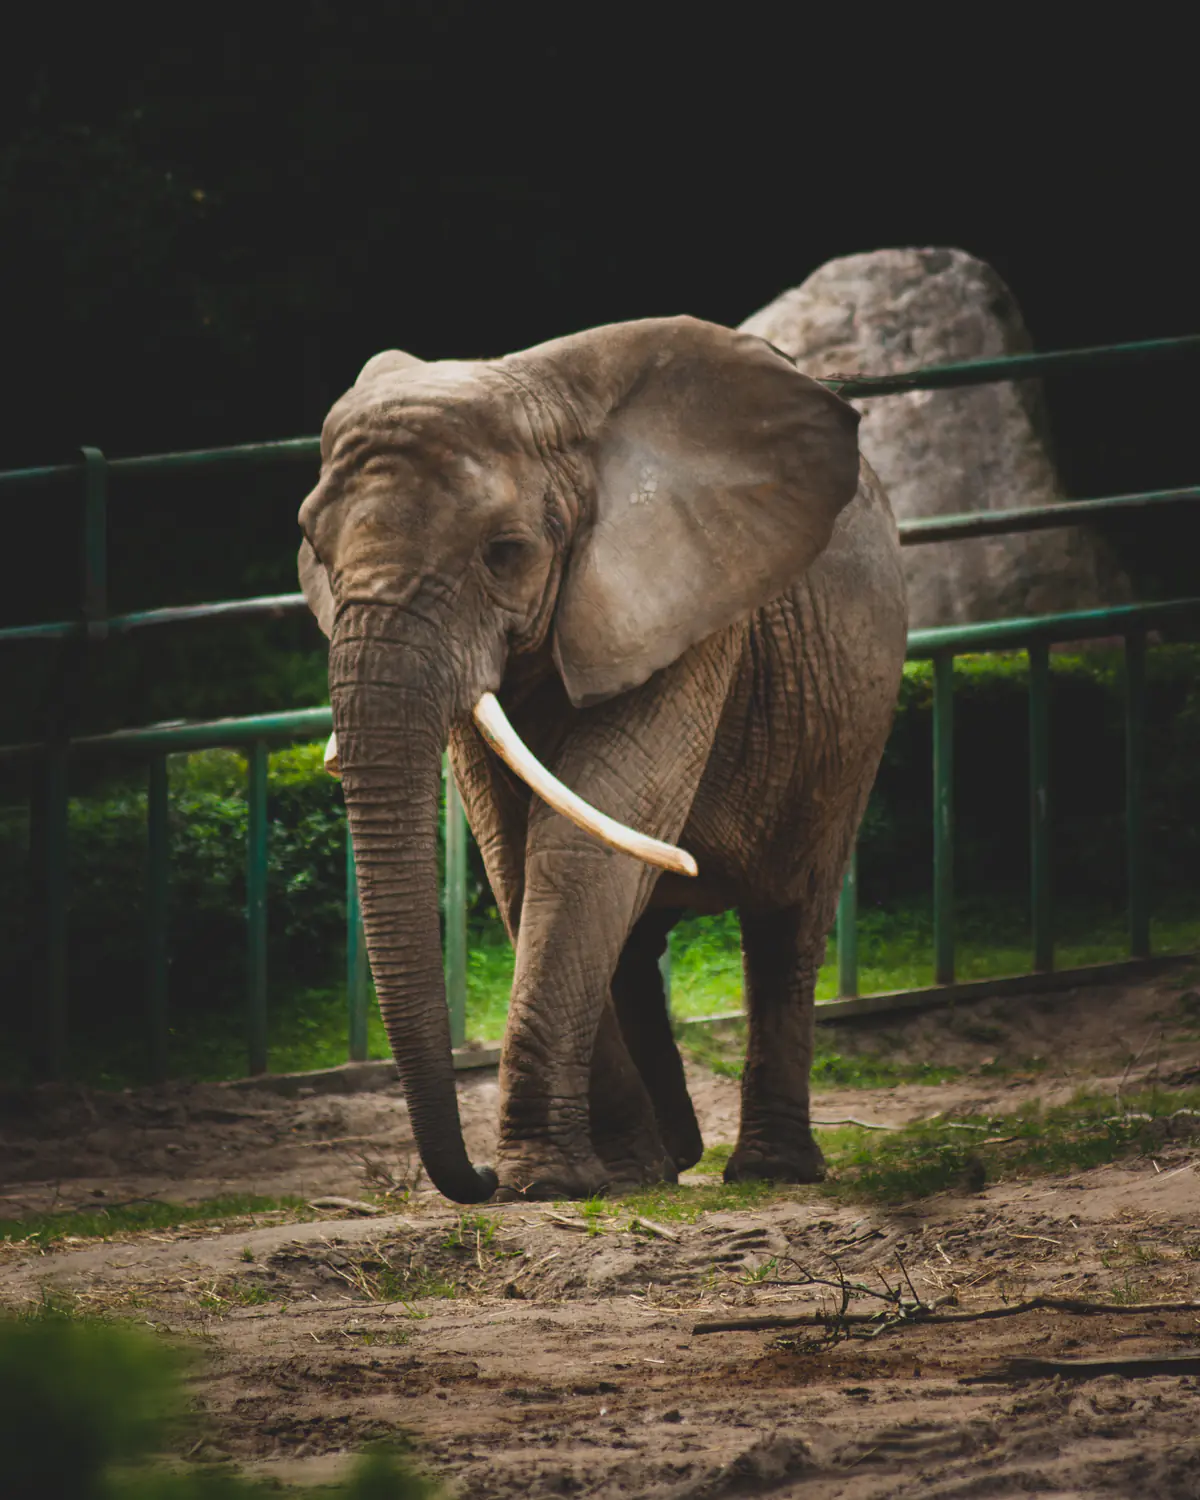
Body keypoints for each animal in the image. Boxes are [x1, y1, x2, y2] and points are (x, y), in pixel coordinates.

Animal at [298, 315, 908, 1205]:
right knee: (637, 936)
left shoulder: (692, 606)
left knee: (787, 922)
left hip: (853, 721)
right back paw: (669, 1160)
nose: (478, 1175)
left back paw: (767, 1171)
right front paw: (604, 1175)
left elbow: (580, 841)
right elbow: (517, 857)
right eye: (313, 546)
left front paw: (544, 1182)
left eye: (506, 552)